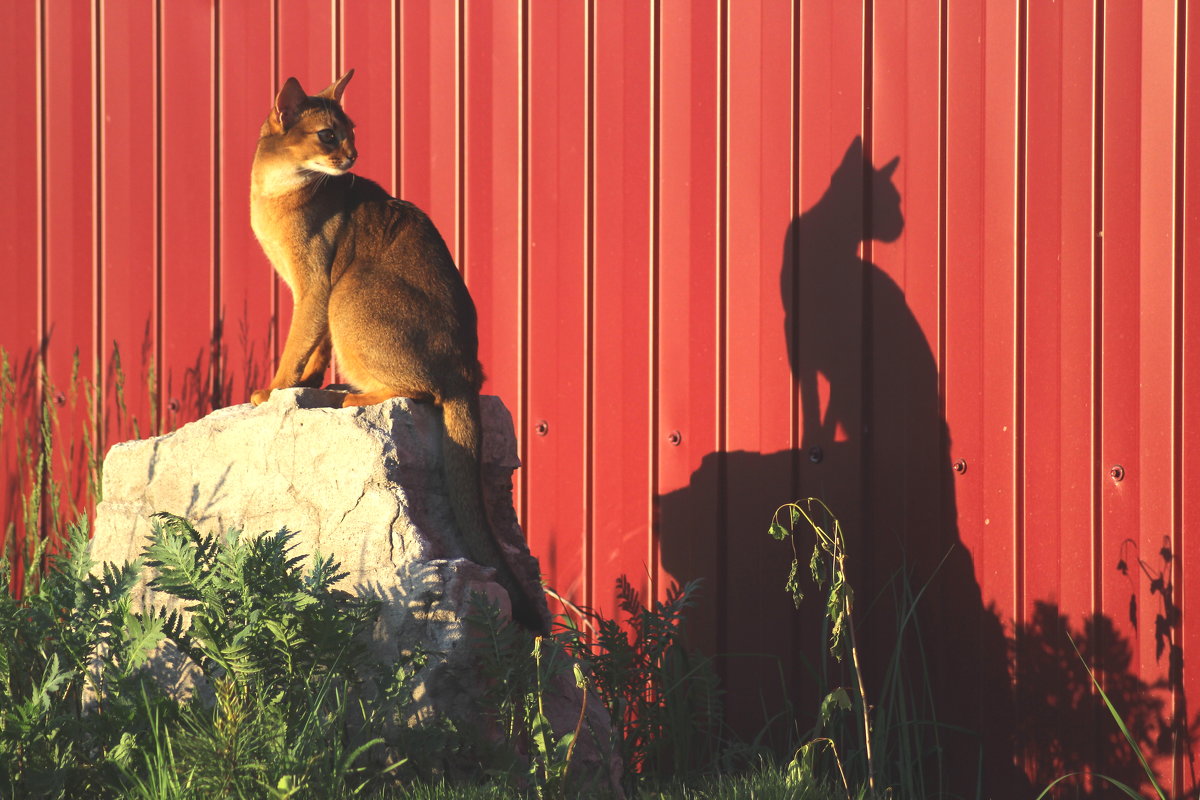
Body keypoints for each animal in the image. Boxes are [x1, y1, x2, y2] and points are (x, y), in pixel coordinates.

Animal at [250, 70, 547, 633]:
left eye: (351, 132)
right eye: (329, 135)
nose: (352, 155)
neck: (276, 188)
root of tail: (467, 373)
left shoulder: (316, 286)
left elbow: (296, 344)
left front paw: (273, 390)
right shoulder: (310, 293)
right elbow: (314, 350)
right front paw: (305, 383)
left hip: (351, 291)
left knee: (419, 390)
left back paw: (355, 395)